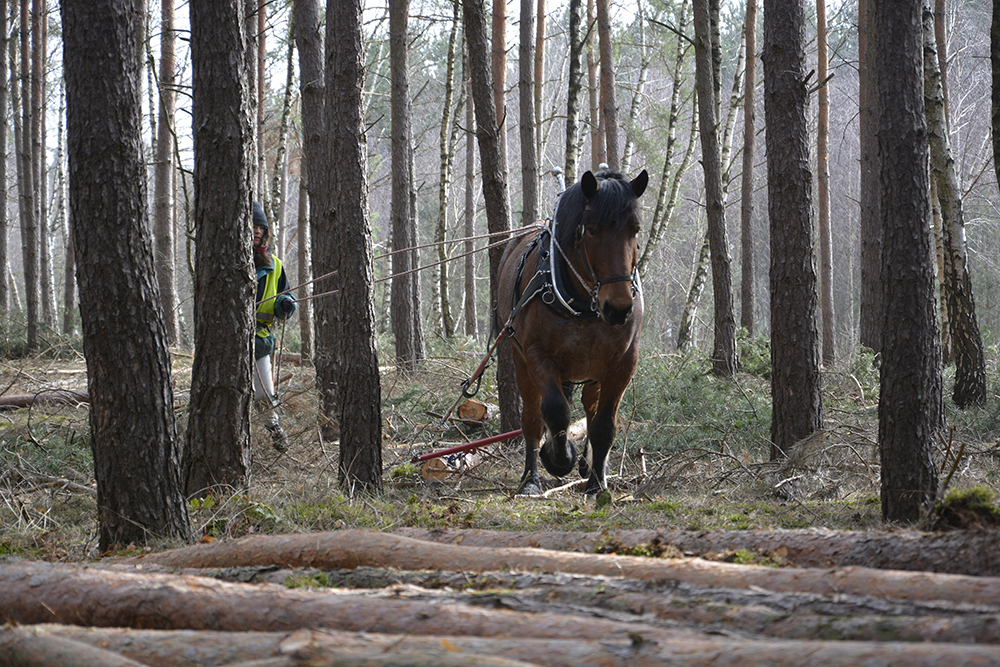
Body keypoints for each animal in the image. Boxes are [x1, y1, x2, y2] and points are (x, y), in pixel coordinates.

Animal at [496, 169, 648, 497]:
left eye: (635, 229)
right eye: (591, 230)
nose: (618, 308)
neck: (584, 306)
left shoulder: (623, 363)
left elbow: (604, 424)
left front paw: (596, 482)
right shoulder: (537, 355)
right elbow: (555, 410)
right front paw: (558, 458)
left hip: (593, 371)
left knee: (590, 409)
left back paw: (591, 467)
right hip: (520, 358)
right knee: (532, 416)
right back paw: (531, 477)